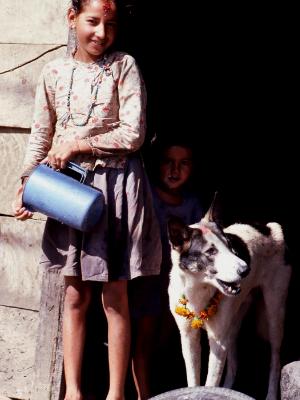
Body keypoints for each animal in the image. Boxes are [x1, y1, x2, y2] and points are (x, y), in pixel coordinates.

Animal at [168, 206, 292, 400]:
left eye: (230, 245)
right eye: (210, 251)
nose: (246, 270)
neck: (199, 290)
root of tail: (269, 227)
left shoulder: (217, 341)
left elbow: (210, 382)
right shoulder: (188, 337)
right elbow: (194, 380)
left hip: (274, 315)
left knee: (275, 360)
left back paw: (271, 394)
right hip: (233, 325)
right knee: (233, 365)